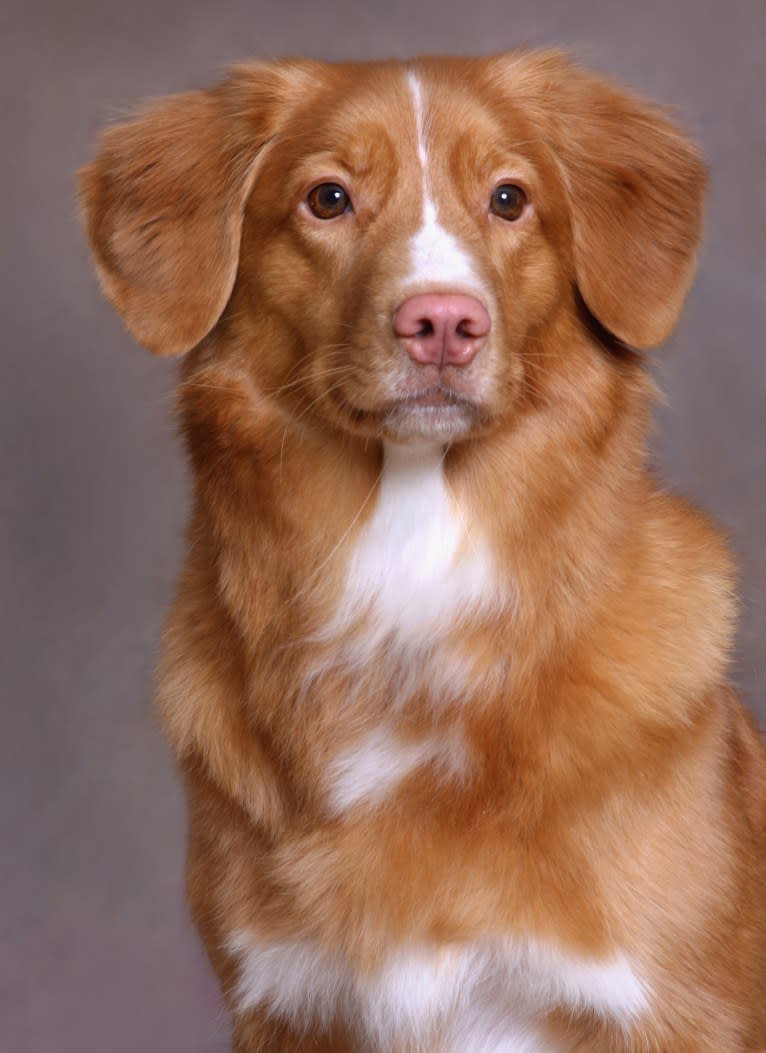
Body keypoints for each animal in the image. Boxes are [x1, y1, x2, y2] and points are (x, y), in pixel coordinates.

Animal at [79, 51, 766, 1053]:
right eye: (328, 198)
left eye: (510, 198)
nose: (444, 322)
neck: (407, 570)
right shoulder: (287, 1005)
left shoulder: (681, 1011)